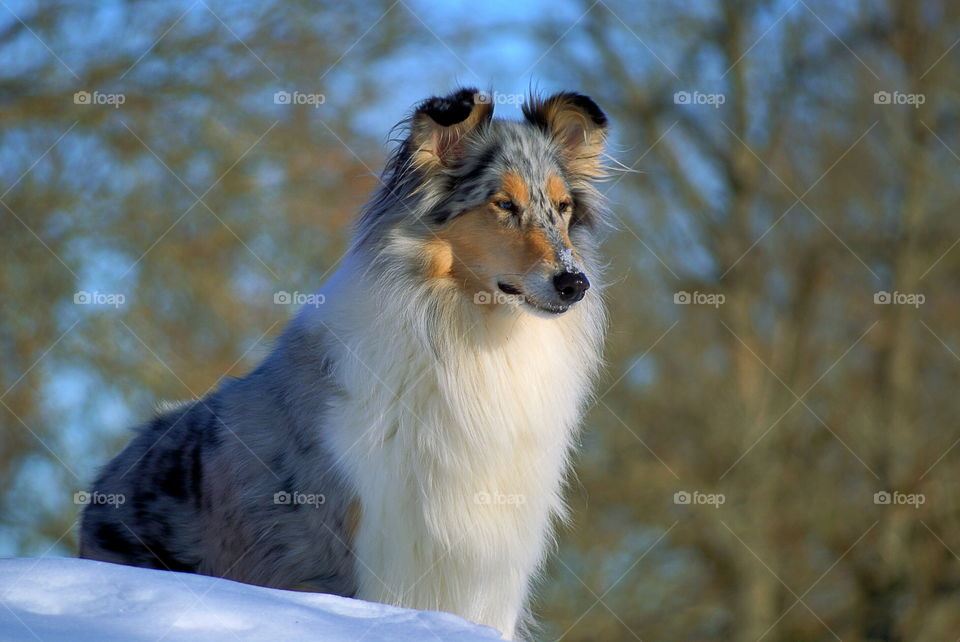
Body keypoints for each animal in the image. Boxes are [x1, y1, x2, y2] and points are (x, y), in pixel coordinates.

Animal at [82, 89, 608, 636]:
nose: (574, 283)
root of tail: (105, 481)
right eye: (503, 204)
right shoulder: (370, 549)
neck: (469, 330)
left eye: (564, 208)